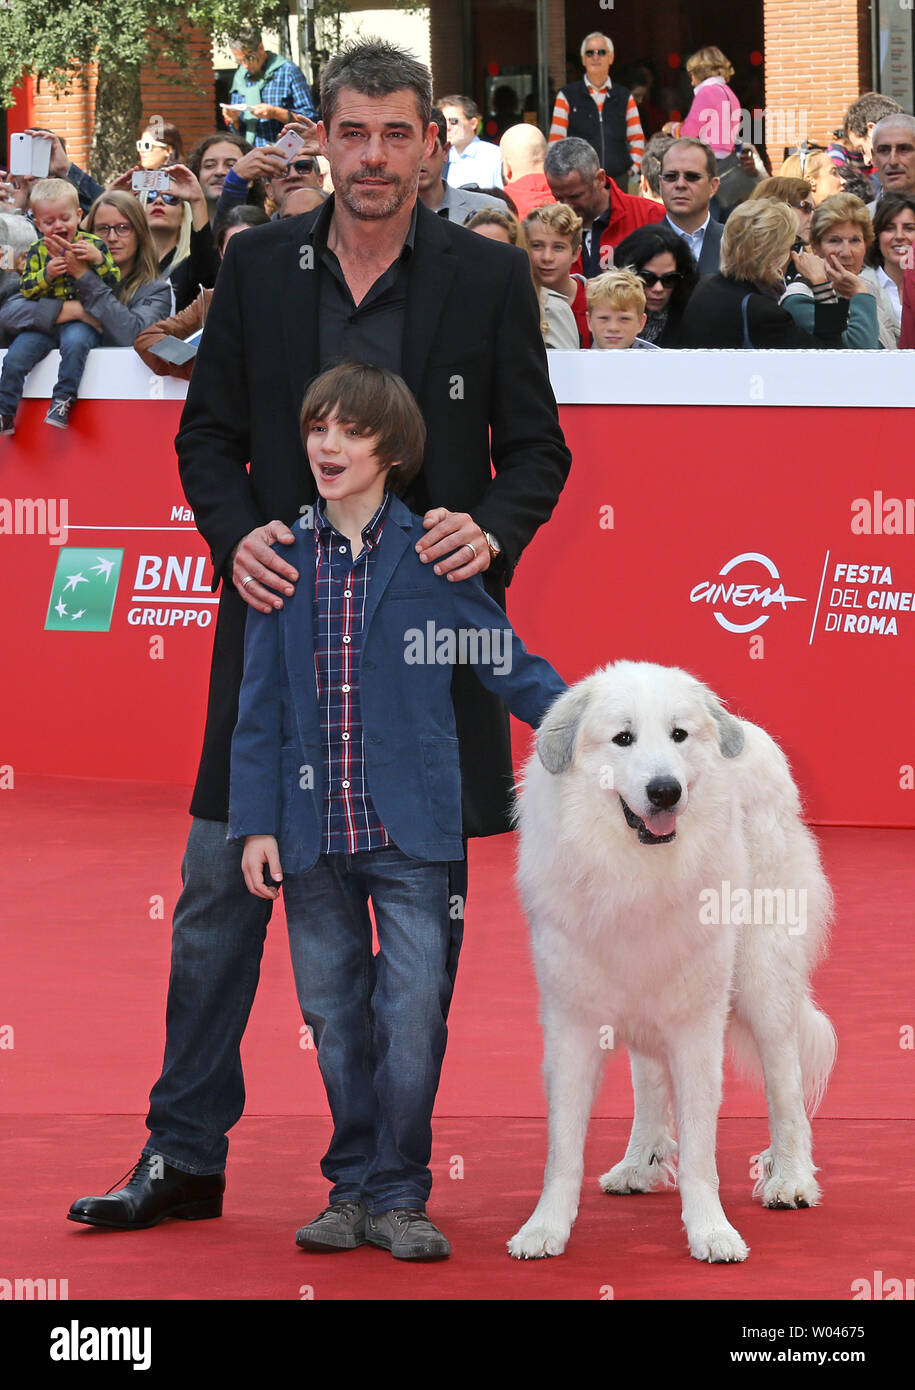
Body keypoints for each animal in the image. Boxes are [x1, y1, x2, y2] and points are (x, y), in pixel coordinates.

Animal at [506, 667, 834, 1267]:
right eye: (623, 739)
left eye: (679, 735)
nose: (665, 790)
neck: (635, 873)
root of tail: (747, 731)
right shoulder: (572, 1022)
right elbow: (563, 1146)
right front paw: (545, 1230)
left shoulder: (697, 1022)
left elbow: (703, 1148)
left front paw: (712, 1233)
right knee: (650, 1080)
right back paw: (641, 1163)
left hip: (762, 979)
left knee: (786, 1083)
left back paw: (791, 1179)